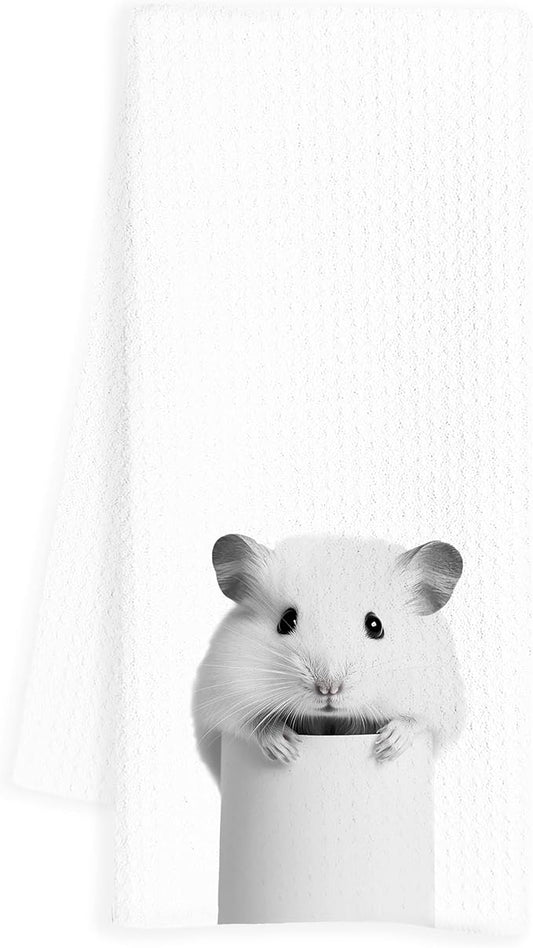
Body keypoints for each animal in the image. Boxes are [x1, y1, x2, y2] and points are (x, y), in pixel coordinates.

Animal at [193, 533, 465, 779]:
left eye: (375, 625)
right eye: (286, 621)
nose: (328, 689)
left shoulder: (440, 703)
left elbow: (418, 721)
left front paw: (387, 745)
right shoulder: (221, 696)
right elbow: (249, 721)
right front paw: (286, 747)